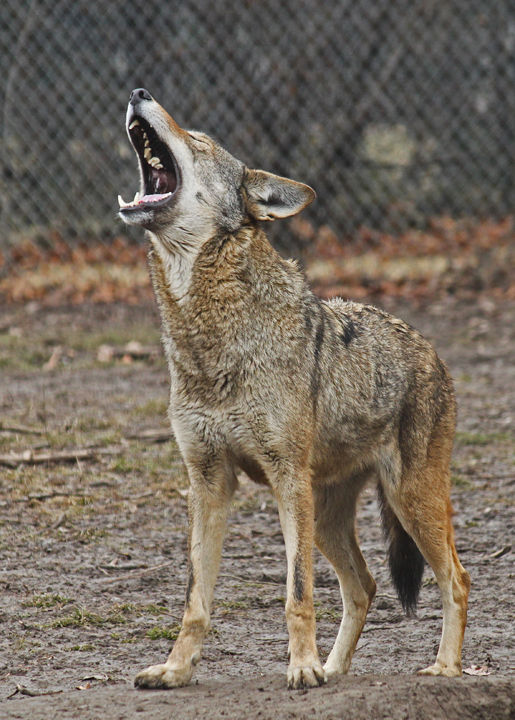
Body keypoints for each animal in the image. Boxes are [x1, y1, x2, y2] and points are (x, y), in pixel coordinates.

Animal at [118, 88, 470, 690]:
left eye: (199, 140)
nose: (140, 92)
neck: (209, 340)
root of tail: (432, 351)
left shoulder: (285, 479)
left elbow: (297, 592)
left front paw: (301, 667)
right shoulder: (207, 483)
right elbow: (195, 601)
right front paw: (175, 670)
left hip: (406, 501)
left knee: (456, 580)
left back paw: (443, 667)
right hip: (327, 517)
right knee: (365, 585)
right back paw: (335, 667)